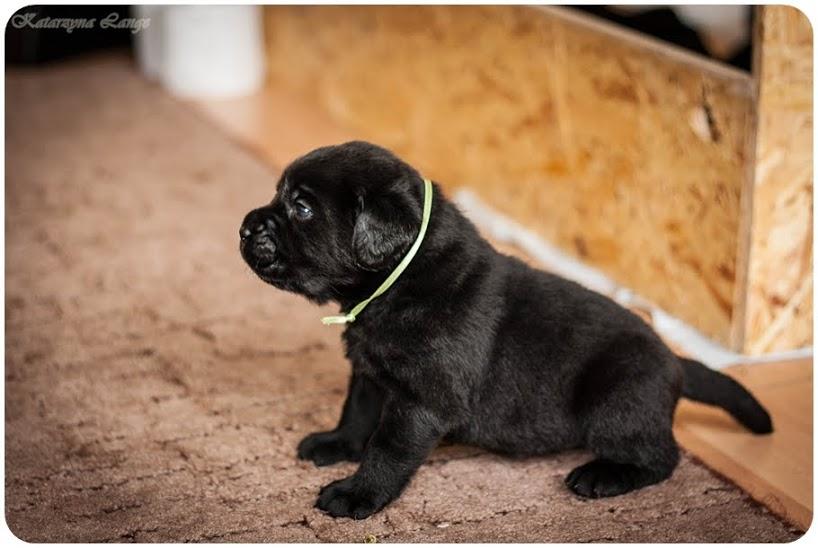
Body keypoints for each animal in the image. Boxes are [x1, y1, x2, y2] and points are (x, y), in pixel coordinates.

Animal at [237, 140, 772, 520]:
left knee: (661, 455)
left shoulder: (422, 400)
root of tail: (674, 360)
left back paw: (602, 476)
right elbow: (357, 412)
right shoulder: (369, 371)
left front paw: (356, 494)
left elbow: (388, 448)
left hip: (617, 399)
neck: (396, 285)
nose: (244, 226)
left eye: (302, 208)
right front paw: (336, 444)